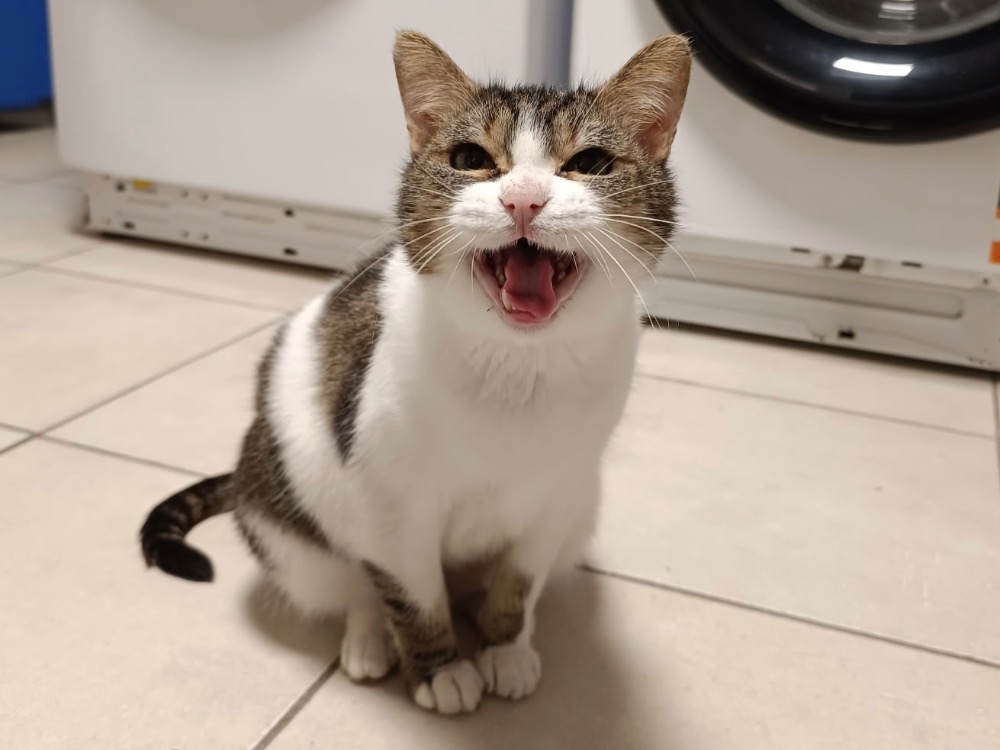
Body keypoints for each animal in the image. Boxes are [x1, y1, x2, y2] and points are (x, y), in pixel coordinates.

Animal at [140, 30, 691, 715]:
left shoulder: (557, 497)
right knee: (353, 584)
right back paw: (368, 641)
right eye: (470, 157)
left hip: (583, 511)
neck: (516, 366)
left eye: (589, 163)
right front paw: (441, 669)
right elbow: (414, 597)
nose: (523, 198)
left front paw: (504, 644)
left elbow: (520, 580)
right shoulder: (391, 507)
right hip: (293, 520)